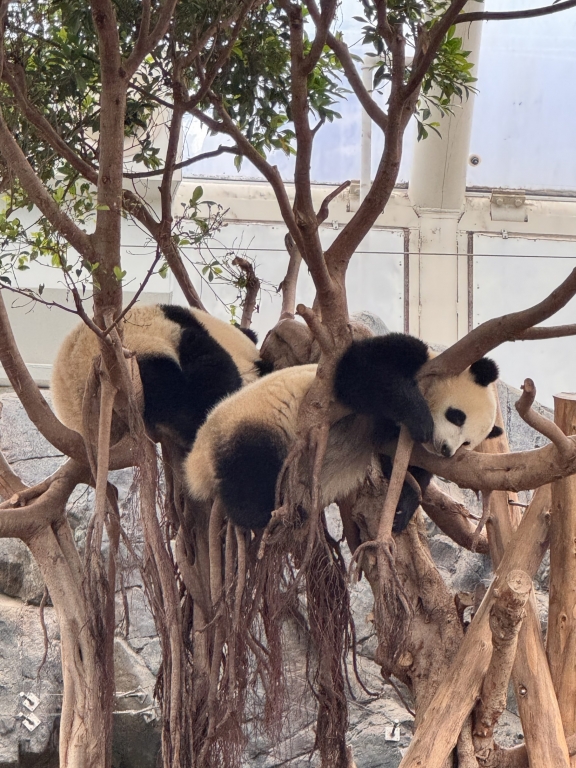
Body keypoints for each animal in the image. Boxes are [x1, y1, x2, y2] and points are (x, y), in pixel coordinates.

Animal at [184, 332, 503, 533]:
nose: (446, 450)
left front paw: (402, 509)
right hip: (254, 423)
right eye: (457, 416)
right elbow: (357, 373)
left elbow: (401, 468)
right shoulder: (417, 358)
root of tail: (196, 461)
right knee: (251, 466)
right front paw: (420, 417)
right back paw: (261, 514)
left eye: (468, 443)